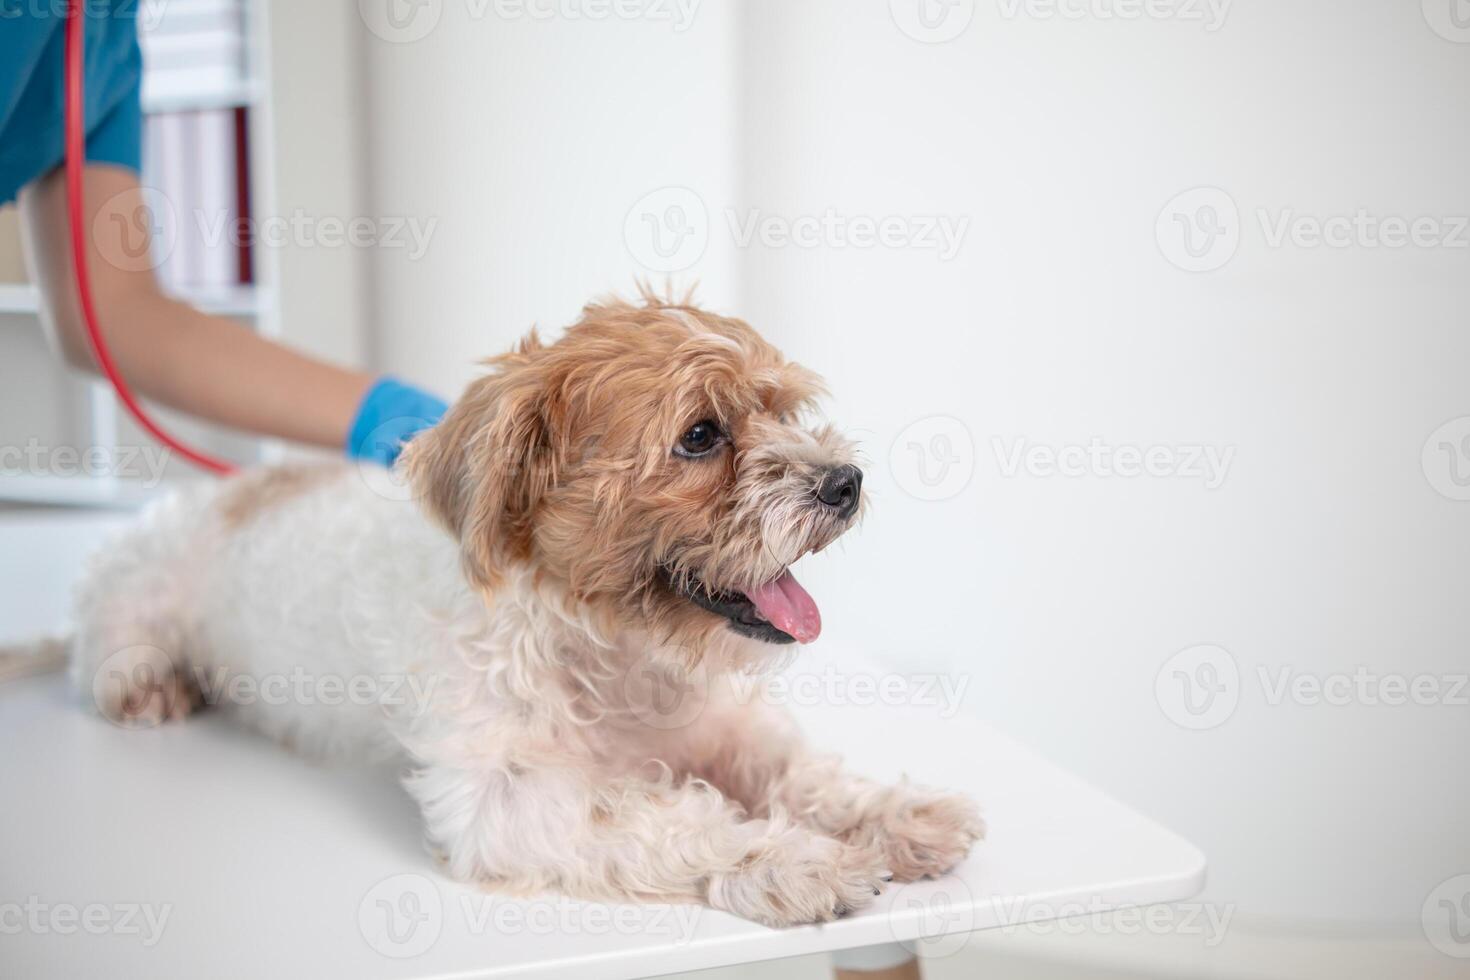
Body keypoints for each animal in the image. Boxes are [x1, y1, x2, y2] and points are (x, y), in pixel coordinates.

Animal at [71, 290, 987, 928]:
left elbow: (797, 770)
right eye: (699, 435)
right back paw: (147, 683)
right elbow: (670, 815)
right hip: (135, 598)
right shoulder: (503, 801)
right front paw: (794, 861)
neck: (610, 648)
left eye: (781, 410)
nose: (845, 481)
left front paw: (890, 813)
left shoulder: (724, 727)